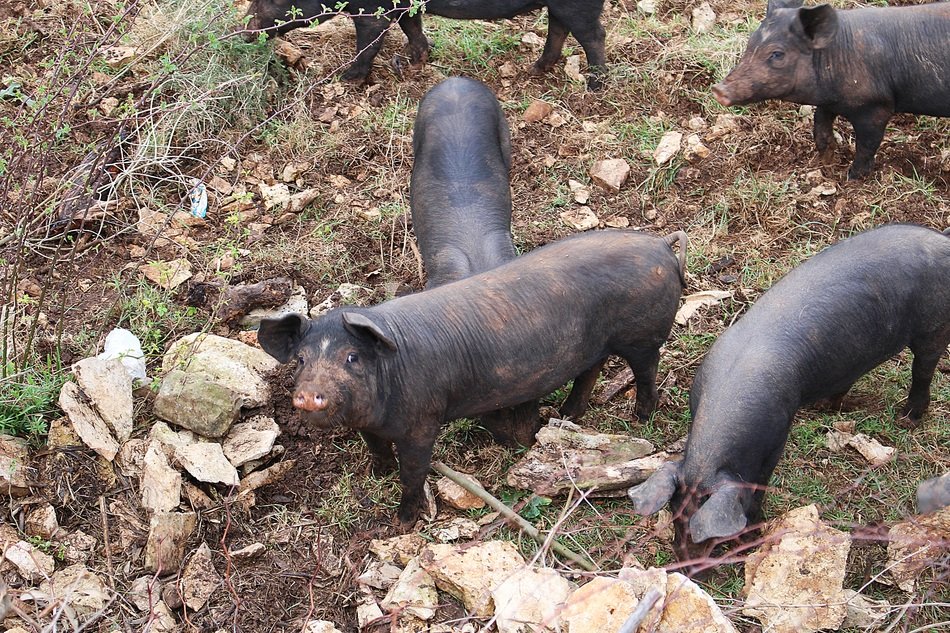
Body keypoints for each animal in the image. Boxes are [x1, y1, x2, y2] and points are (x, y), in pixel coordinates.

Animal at [258, 229, 687, 526]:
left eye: (351, 357)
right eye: (300, 359)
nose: (308, 394)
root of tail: (661, 245)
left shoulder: (423, 421)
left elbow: (413, 471)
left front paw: (401, 522)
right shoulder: (370, 426)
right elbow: (377, 449)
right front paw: (376, 474)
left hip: (643, 335)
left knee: (646, 371)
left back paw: (641, 417)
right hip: (595, 345)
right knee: (589, 371)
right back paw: (564, 416)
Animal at [628, 224, 950, 562]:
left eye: (710, 535)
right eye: (676, 516)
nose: (686, 565)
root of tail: (942, 239)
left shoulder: (777, 435)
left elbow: (760, 484)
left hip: (934, 327)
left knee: (923, 369)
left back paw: (908, 419)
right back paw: (825, 407)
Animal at [711, 1, 950, 179]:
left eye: (777, 54)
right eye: (750, 43)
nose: (718, 89)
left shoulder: (877, 107)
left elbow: (867, 145)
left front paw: (852, 178)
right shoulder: (830, 102)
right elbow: (820, 122)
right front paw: (825, 160)